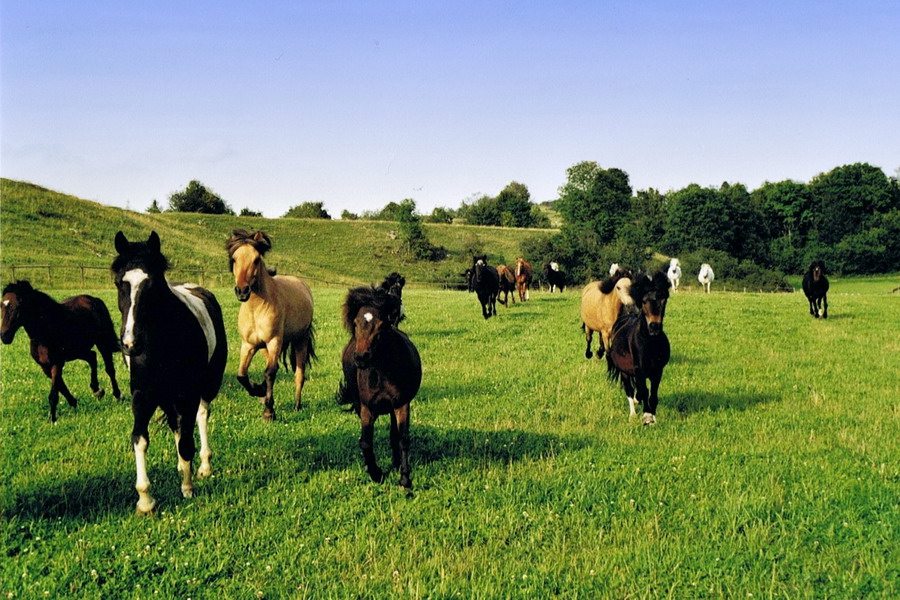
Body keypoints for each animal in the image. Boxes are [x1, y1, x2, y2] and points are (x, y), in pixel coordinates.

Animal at [0, 278, 120, 420]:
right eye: (1, 305)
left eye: (18, 306)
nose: (4, 336)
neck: (46, 331)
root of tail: (94, 299)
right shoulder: (45, 366)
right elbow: (60, 386)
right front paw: (73, 402)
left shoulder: (57, 363)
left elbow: (54, 393)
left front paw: (53, 419)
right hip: (78, 350)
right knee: (92, 357)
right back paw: (97, 390)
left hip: (101, 342)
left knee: (109, 368)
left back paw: (117, 395)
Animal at [111, 232, 229, 512]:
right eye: (119, 282)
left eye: (152, 284)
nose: (130, 344)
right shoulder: (142, 395)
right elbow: (140, 438)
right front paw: (145, 500)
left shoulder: (188, 394)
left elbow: (187, 439)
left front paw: (187, 488)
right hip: (166, 396)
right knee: (177, 424)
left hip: (207, 386)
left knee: (200, 417)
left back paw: (203, 465)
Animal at [225, 230, 316, 422]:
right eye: (234, 259)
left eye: (256, 259)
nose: (242, 291)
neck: (256, 309)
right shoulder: (248, 345)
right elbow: (242, 375)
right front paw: (259, 391)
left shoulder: (274, 341)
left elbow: (270, 373)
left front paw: (268, 412)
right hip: (264, 348)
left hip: (300, 340)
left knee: (299, 374)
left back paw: (297, 405)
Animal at [338, 284, 422, 488]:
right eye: (356, 323)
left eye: (382, 325)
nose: (361, 357)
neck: (382, 373)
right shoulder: (367, 408)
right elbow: (365, 442)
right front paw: (376, 473)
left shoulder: (401, 404)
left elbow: (402, 438)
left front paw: (405, 478)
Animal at [608, 272, 672, 426]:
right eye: (643, 301)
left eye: (663, 300)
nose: (654, 326)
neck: (650, 343)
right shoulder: (639, 370)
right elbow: (643, 391)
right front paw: (647, 416)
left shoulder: (657, 371)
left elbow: (653, 396)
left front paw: (652, 418)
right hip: (625, 372)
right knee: (630, 390)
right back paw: (632, 414)